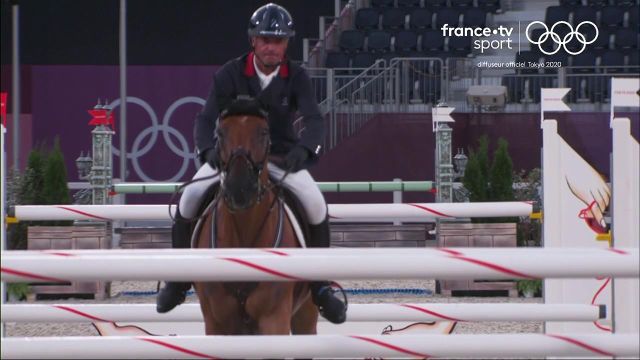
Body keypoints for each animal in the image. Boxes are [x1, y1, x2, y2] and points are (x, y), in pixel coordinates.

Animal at [191, 98, 318, 334]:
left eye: (263, 132)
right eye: (220, 133)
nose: (240, 189)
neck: (244, 233)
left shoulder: (274, 317)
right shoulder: (216, 322)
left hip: (305, 314)